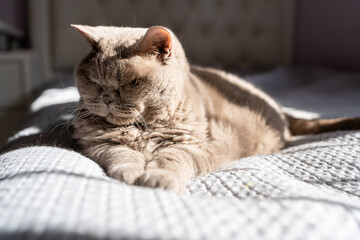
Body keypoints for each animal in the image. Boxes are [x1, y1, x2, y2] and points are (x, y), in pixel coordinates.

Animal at [70, 24, 360, 191]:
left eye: (131, 82)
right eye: (93, 80)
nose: (107, 97)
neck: (143, 127)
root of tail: (278, 108)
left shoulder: (193, 146)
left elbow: (171, 159)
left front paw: (157, 177)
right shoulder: (99, 144)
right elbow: (122, 155)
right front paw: (131, 172)